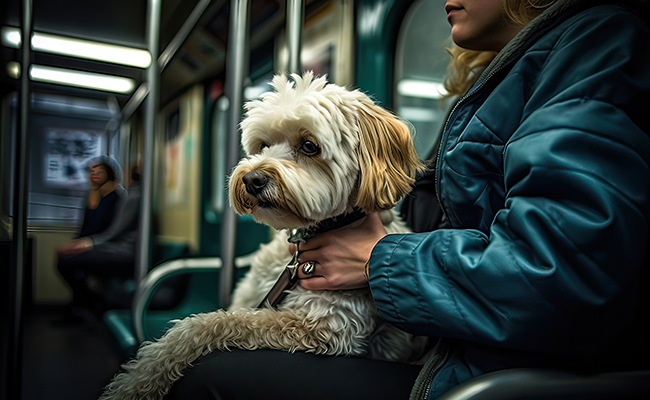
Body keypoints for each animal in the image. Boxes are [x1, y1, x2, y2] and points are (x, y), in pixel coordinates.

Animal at [100, 72, 426, 400]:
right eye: (263, 145)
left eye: (309, 145)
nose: (251, 178)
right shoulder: (254, 295)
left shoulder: (323, 327)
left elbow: (207, 324)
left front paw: (137, 380)